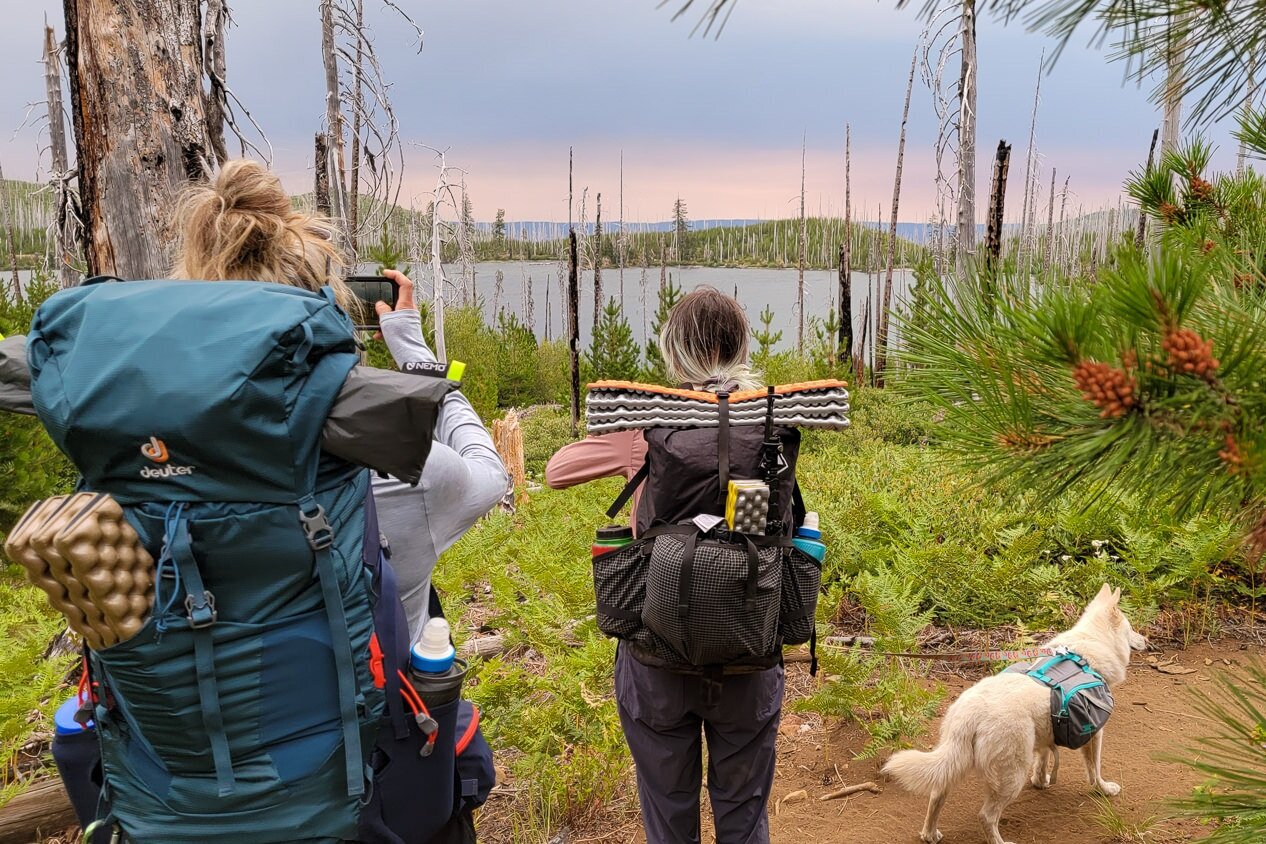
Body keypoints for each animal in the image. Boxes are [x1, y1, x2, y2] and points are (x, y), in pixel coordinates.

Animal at [881, 584, 1149, 844]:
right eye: (1130, 629)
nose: (1146, 640)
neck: (1087, 648)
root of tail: (969, 714)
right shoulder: (1094, 733)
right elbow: (1095, 770)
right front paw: (1104, 790)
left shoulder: (1046, 733)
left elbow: (1044, 758)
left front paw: (1041, 782)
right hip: (1011, 775)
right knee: (986, 816)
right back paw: (999, 841)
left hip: (955, 760)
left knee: (937, 794)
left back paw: (930, 834)